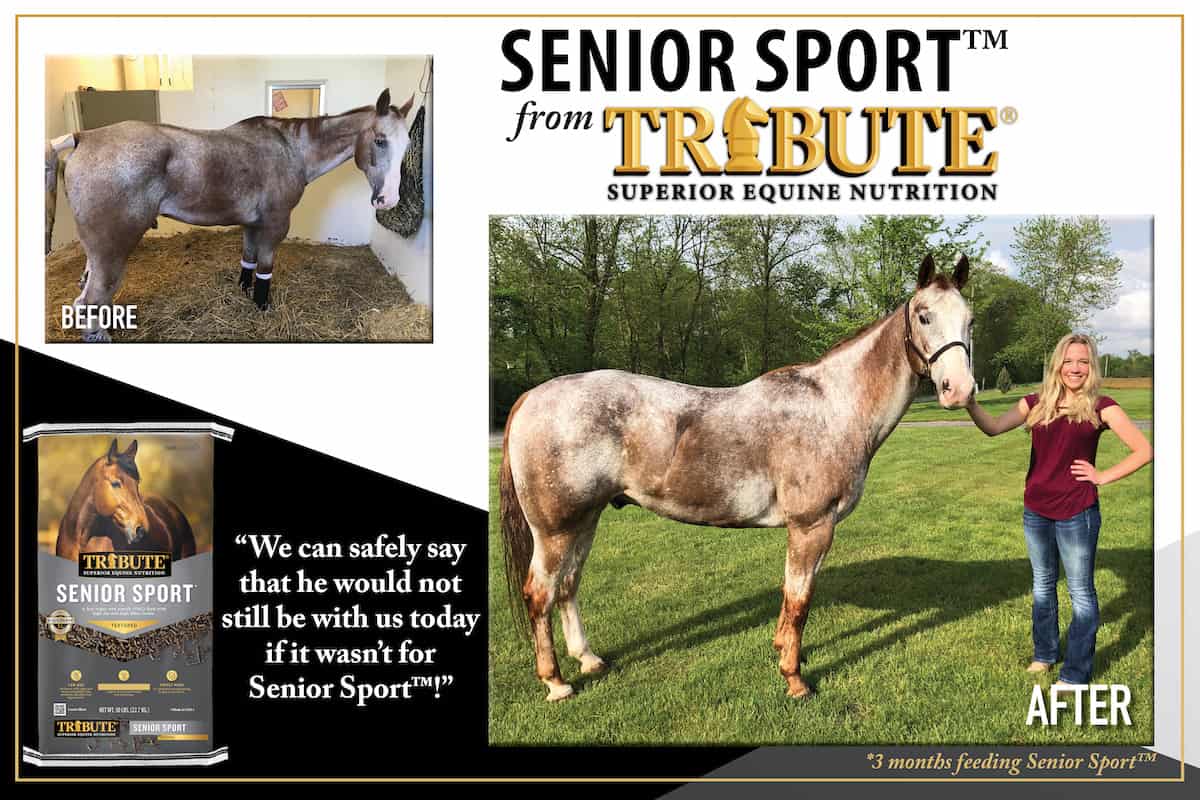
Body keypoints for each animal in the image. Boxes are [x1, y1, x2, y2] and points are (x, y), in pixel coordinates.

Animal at [51, 88, 414, 341]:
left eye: (408, 144)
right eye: (380, 140)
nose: (389, 199)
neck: (290, 150)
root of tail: (83, 137)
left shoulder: (252, 225)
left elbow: (248, 262)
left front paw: (243, 291)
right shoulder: (274, 224)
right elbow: (265, 269)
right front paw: (262, 306)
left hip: (97, 254)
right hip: (112, 251)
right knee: (89, 302)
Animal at [500, 254, 976, 701]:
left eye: (970, 319)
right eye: (924, 315)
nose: (959, 389)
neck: (833, 407)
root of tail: (530, 397)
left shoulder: (815, 530)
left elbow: (792, 594)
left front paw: (784, 650)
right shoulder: (811, 527)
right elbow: (800, 599)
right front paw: (794, 679)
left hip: (585, 521)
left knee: (568, 586)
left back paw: (589, 659)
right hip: (555, 531)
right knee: (540, 594)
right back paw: (556, 682)